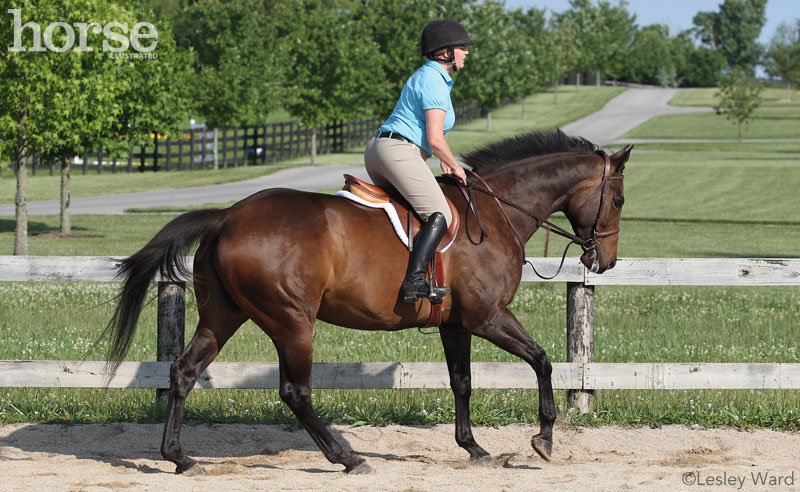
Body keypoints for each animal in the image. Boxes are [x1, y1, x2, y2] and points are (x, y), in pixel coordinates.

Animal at [104, 129, 632, 474]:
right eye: (619, 200)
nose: (604, 261)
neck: (497, 212)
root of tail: (228, 216)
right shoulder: (488, 317)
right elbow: (542, 361)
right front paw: (544, 438)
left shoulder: (456, 324)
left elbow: (461, 383)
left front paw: (474, 448)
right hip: (291, 321)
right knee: (295, 392)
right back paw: (347, 458)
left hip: (222, 316)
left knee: (184, 372)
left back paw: (179, 458)